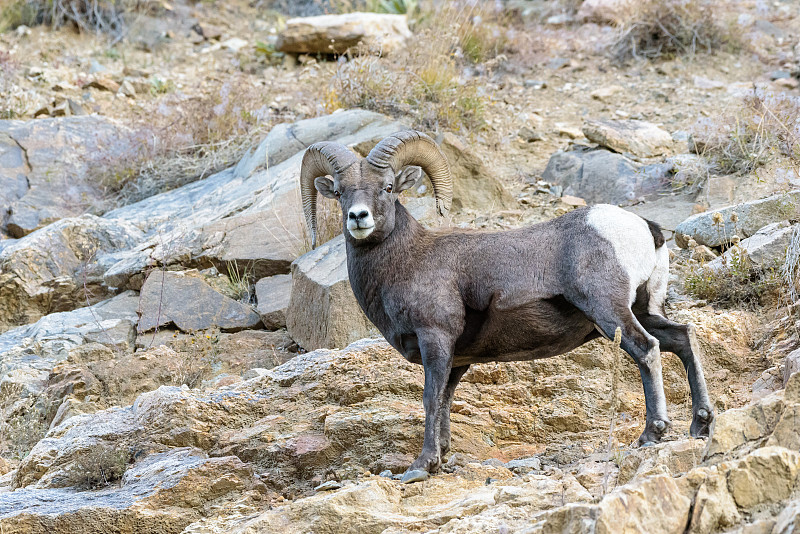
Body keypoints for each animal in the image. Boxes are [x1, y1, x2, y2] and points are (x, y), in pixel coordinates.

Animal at [300, 131, 712, 486]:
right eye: (339, 192)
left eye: (387, 188)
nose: (358, 217)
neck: (407, 261)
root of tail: (646, 229)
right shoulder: (458, 360)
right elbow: (446, 401)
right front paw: (442, 459)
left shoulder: (436, 340)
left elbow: (430, 399)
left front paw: (421, 466)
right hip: (643, 311)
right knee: (682, 339)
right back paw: (701, 424)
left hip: (611, 314)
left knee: (648, 350)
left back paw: (652, 434)